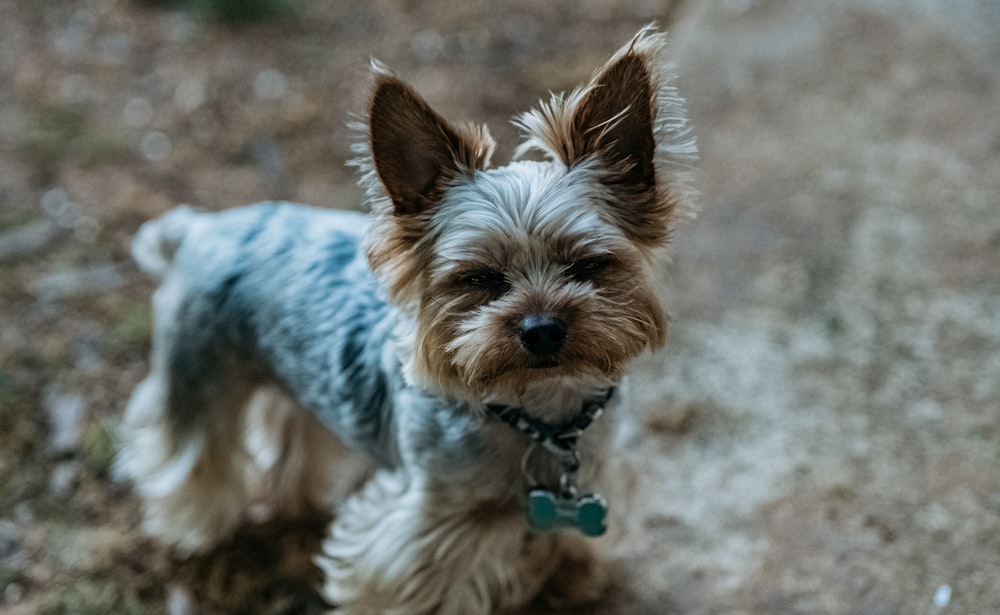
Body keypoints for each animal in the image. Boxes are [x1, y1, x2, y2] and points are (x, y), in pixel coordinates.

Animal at [117, 24, 696, 615]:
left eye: (588, 265)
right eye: (478, 278)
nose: (542, 330)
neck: (541, 411)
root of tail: (202, 227)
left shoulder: (596, 478)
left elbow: (566, 540)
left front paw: (571, 578)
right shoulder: (426, 528)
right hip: (198, 371)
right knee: (192, 451)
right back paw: (198, 529)